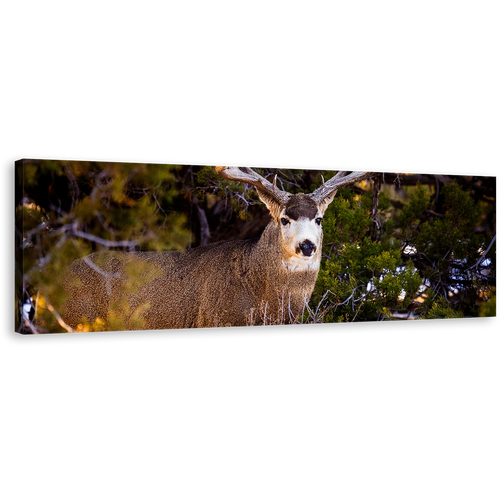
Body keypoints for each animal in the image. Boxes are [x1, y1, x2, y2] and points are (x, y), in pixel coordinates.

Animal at [40, 169, 376, 332]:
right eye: (284, 219)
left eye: (319, 219)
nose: (306, 245)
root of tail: (48, 282)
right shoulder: (217, 318)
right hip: (74, 317)